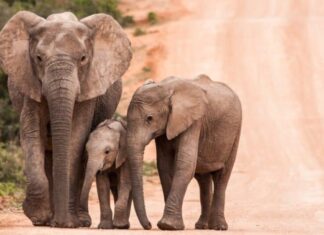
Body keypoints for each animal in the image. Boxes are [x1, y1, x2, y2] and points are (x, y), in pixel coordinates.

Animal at [0, 11, 132, 228]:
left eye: (83, 58)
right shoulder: (30, 83)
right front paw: (38, 217)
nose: (60, 223)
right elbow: (31, 133)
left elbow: (76, 137)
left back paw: (79, 220)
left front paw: (68, 223)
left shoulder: (89, 86)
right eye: (38, 58)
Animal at [128, 76, 242, 230]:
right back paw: (202, 226)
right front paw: (167, 225)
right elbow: (164, 166)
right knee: (204, 180)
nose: (149, 225)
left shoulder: (194, 122)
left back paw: (219, 227)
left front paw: (168, 225)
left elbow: (185, 163)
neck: (166, 88)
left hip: (235, 133)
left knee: (222, 177)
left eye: (149, 118)